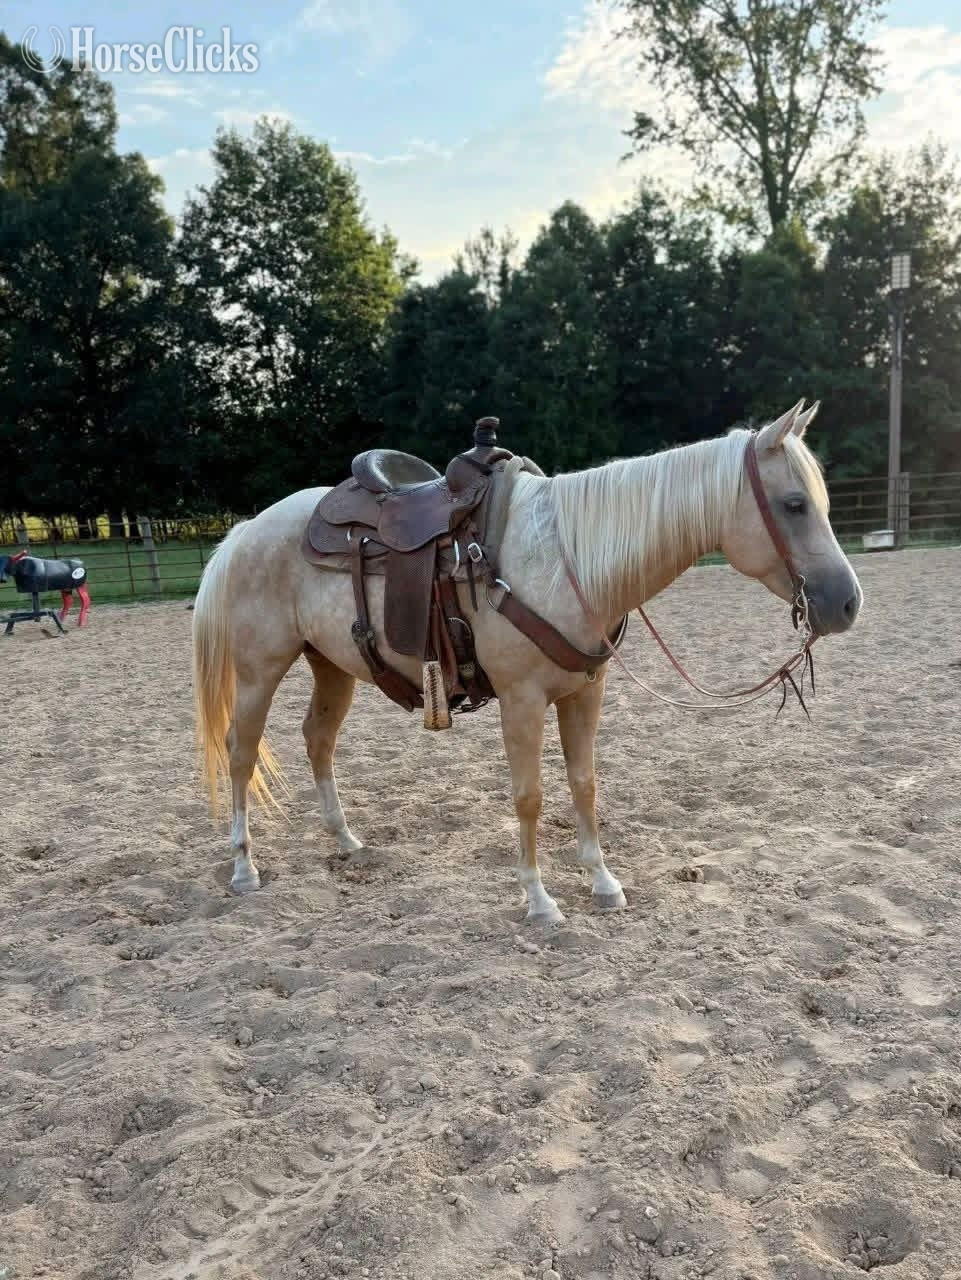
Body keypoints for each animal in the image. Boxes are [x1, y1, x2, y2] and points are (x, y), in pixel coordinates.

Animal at [192, 402, 862, 922]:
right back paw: (244, 867)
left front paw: (603, 882)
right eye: (795, 504)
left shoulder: (585, 692)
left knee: (318, 740)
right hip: (259, 670)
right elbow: (530, 796)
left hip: (331, 665)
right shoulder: (521, 702)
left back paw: (346, 841)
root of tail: (247, 528)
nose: (848, 602)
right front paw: (540, 901)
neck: (567, 561)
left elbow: (584, 785)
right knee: (241, 751)